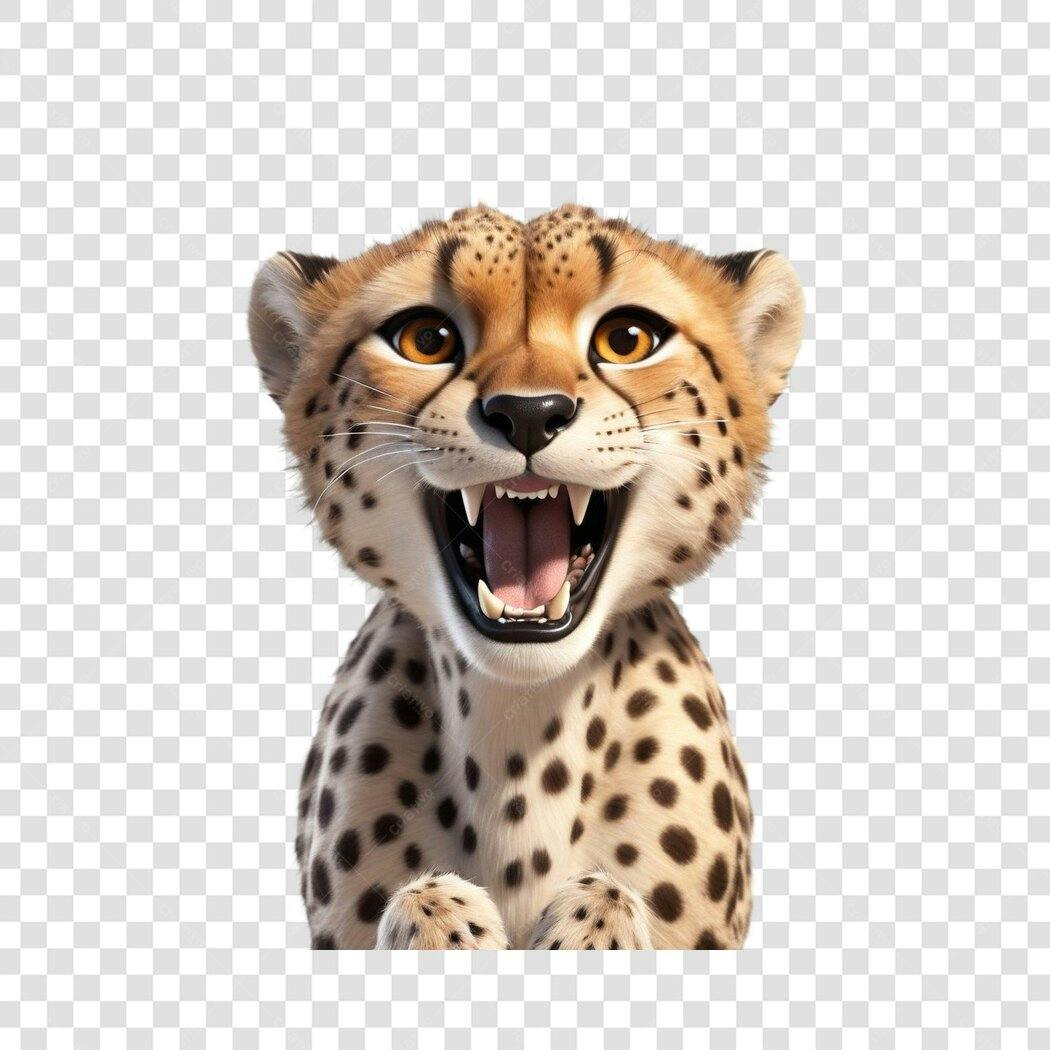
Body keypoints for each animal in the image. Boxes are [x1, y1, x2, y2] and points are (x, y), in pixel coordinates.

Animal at [247, 204, 804, 949]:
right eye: (426, 339)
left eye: (627, 339)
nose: (529, 413)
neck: (521, 738)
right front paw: (440, 916)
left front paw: (593, 919)